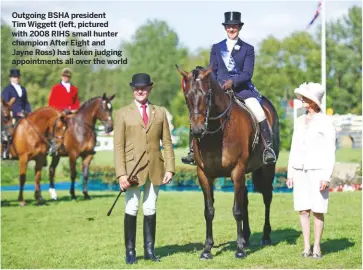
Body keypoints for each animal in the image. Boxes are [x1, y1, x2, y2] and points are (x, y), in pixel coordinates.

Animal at [176, 65, 282, 260]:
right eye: (187, 96)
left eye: (207, 95)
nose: (197, 130)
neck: (216, 134)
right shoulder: (204, 174)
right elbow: (209, 211)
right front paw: (207, 249)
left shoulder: (237, 170)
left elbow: (237, 210)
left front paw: (239, 250)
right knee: (245, 198)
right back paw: (246, 237)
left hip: (267, 168)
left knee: (267, 197)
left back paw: (265, 236)